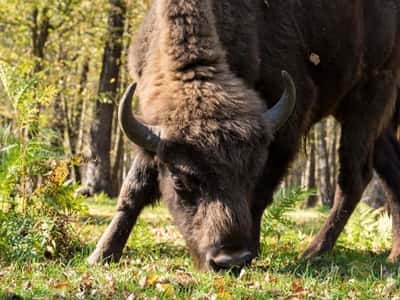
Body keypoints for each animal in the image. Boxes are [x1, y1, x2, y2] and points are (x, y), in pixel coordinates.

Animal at [89, 0, 400, 272]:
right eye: (179, 180)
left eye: (250, 172)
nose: (229, 259)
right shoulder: (153, 134)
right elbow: (133, 190)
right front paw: (102, 254)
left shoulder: (285, 130)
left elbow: (260, 196)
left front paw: (254, 248)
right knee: (390, 173)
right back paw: (394, 255)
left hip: (367, 98)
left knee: (354, 178)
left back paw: (313, 252)